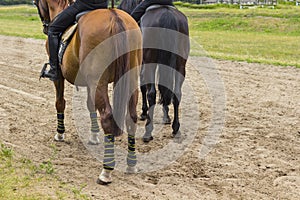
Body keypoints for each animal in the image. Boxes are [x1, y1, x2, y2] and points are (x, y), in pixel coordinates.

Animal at [33, 0, 143, 184]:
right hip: (130, 79)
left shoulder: (60, 78)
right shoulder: (90, 84)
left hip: (99, 81)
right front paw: (93, 136)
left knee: (107, 117)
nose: (45, 27)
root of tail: (114, 17)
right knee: (131, 117)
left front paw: (60, 134)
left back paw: (106, 170)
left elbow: (60, 103)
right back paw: (132, 164)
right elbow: (90, 106)